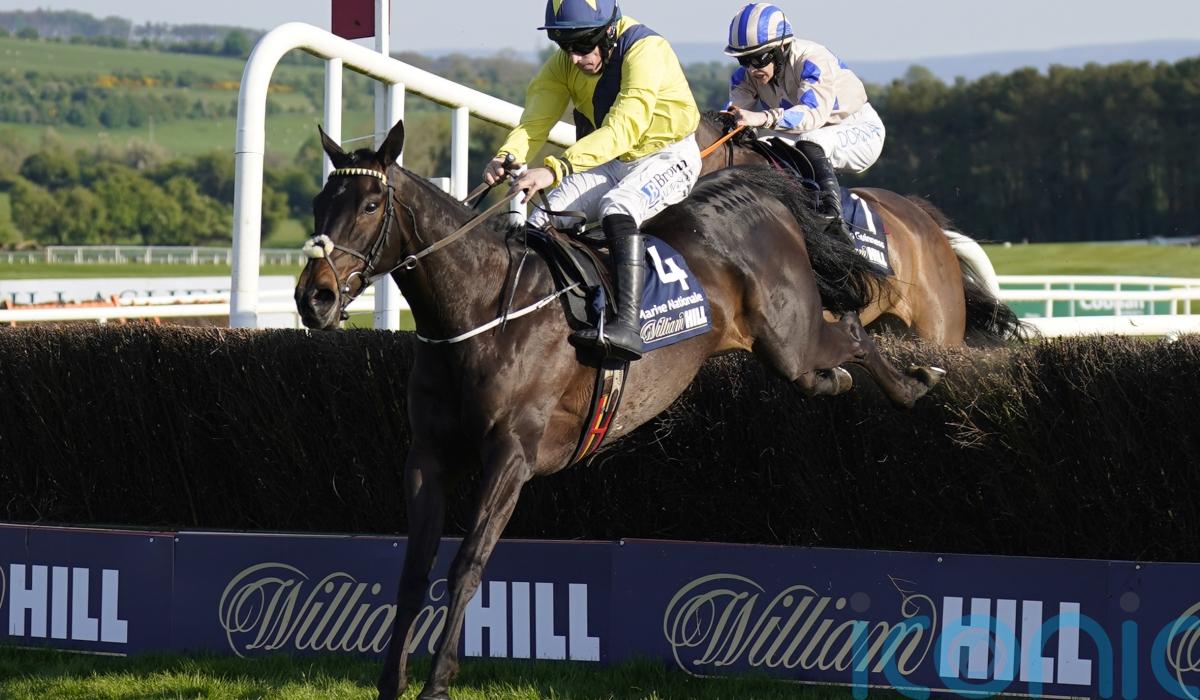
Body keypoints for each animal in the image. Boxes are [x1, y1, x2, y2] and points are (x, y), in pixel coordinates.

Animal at [294, 119, 946, 700]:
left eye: (371, 204)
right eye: (322, 201)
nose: (313, 297)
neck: (480, 308)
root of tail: (756, 195)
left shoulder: (511, 455)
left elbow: (468, 565)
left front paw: (437, 683)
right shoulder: (428, 455)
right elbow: (412, 571)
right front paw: (391, 682)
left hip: (793, 335)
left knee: (855, 336)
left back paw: (917, 382)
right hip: (786, 354)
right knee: (826, 369)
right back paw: (849, 381)